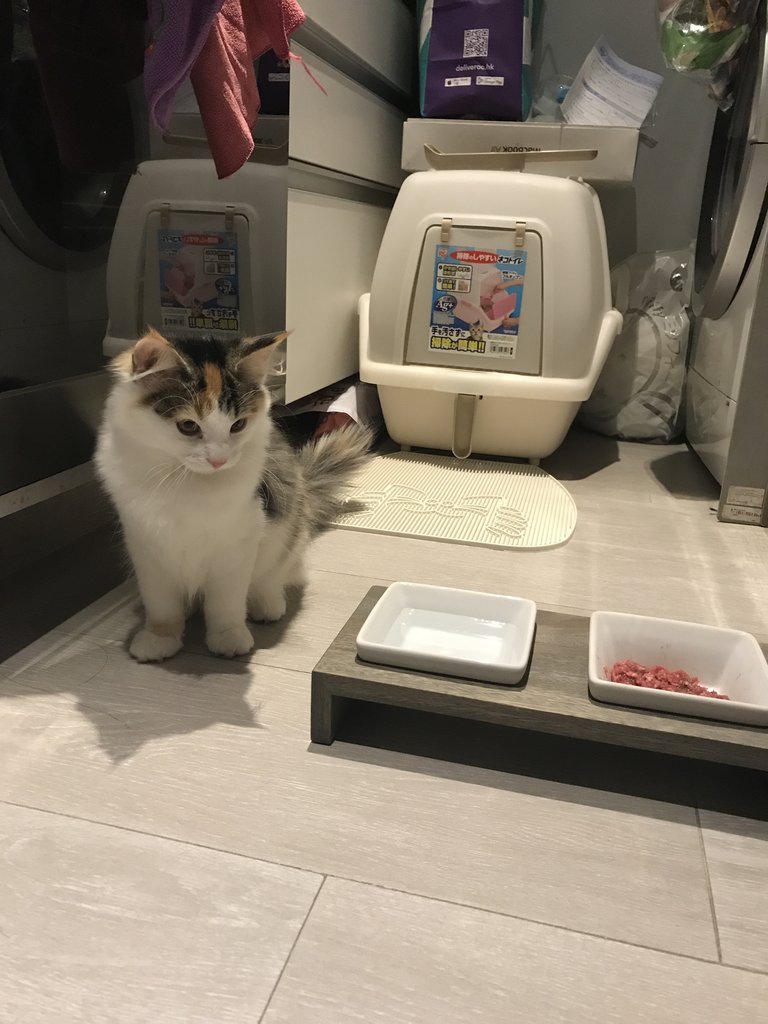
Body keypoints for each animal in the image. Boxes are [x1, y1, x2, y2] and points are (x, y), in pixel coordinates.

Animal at [95, 327, 370, 663]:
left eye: (238, 425)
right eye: (188, 426)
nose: (219, 460)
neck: (187, 484)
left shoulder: (236, 545)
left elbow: (226, 604)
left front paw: (228, 639)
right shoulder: (147, 547)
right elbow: (162, 606)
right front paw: (160, 640)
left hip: (286, 535)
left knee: (275, 576)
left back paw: (266, 605)